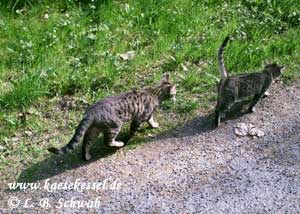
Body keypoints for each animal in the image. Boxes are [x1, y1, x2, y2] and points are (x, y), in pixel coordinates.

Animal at [48, 73, 176, 160]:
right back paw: (119, 144)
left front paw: (154, 125)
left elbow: (151, 120)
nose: (176, 96)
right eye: (174, 92)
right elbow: (133, 131)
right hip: (115, 126)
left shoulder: (147, 115)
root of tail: (90, 112)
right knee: (107, 141)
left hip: (93, 130)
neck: (154, 92)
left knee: (86, 143)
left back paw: (87, 156)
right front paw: (127, 140)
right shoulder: (139, 118)